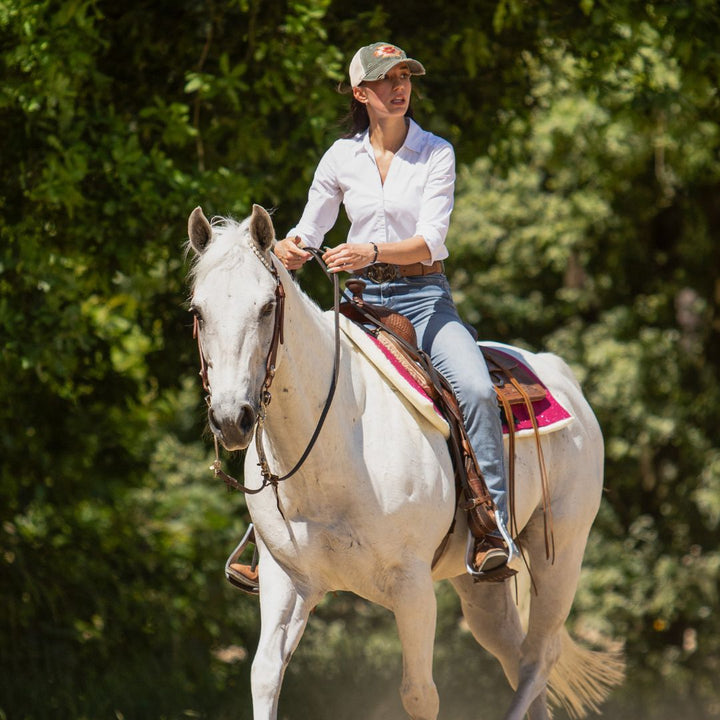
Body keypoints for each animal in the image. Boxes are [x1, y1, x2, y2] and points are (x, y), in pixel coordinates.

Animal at [187, 204, 624, 720]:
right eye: (198, 311)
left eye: (266, 307)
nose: (231, 419)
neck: (336, 447)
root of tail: (559, 374)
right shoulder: (285, 580)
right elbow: (265, 675)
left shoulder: (413, 589)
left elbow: (419, 694)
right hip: (482, 584)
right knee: (516, 657)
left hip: (561, 551)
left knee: (539, 658)